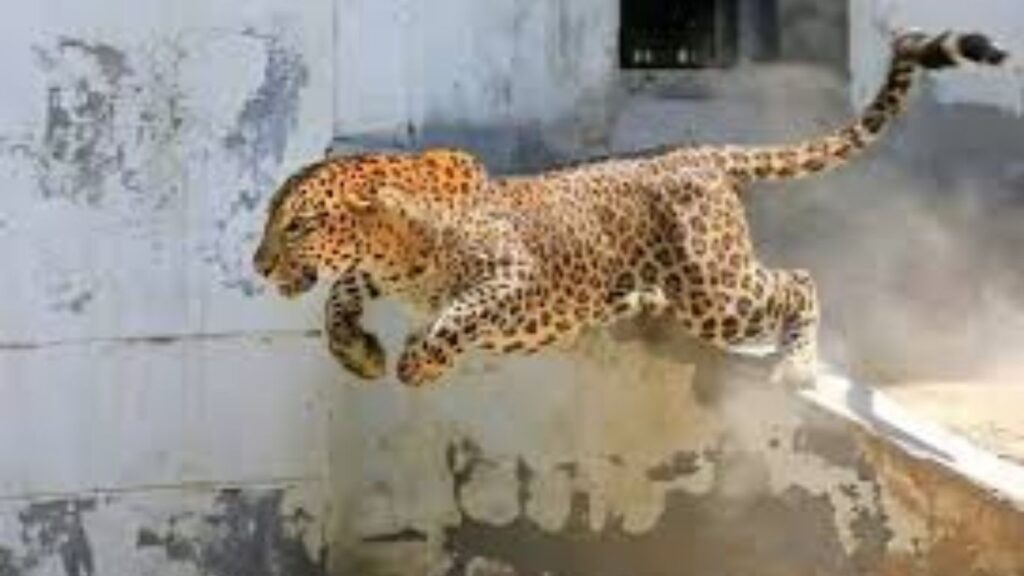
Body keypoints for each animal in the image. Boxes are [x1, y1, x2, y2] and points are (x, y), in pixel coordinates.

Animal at [253, 30, 1007, 387]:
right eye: (271, 220)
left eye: (299, 225)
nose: (258, 265)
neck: (396, 244)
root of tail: (695, 153)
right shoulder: (372, 272)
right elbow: (339, 295)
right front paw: (358, 352)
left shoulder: (512, 273)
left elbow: (456, 314)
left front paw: (417, 362)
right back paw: (636, 302)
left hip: (715, 291)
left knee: (797, 281)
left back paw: (795, 363)